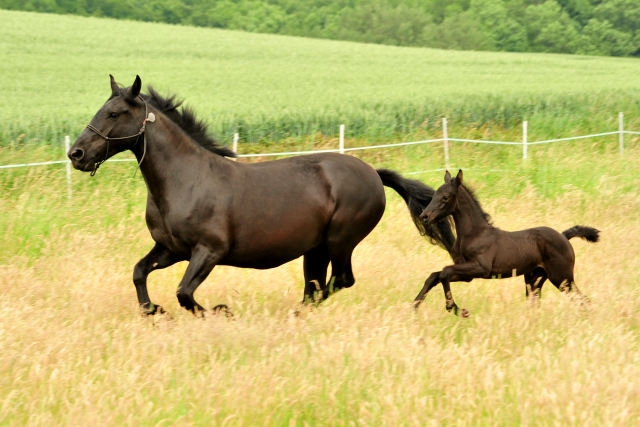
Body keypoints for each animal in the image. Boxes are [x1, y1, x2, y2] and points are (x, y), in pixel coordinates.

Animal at [69, 76, 456, 318]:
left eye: (114, 113)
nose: (76, 154)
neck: (186, 180)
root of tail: (373, 173)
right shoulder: (171, 249)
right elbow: (139, 273)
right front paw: (154, 310)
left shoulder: (208, 251)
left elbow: (185, 294)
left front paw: (221, 311)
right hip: (315, 248)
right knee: (316, 285)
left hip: (340, 241)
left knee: (338, 282)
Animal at [416, 169, 600, 316]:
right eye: (433, 195)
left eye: (445, 197)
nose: (424, 216)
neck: (473, 233)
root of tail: (563, 236)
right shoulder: (467, 274)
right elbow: (435, 276)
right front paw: (414, 305)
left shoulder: (481, 268)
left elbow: (444, 272)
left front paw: (456, 309)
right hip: (535, 278)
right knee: (535, 303)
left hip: (562, 277)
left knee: (584, 301)